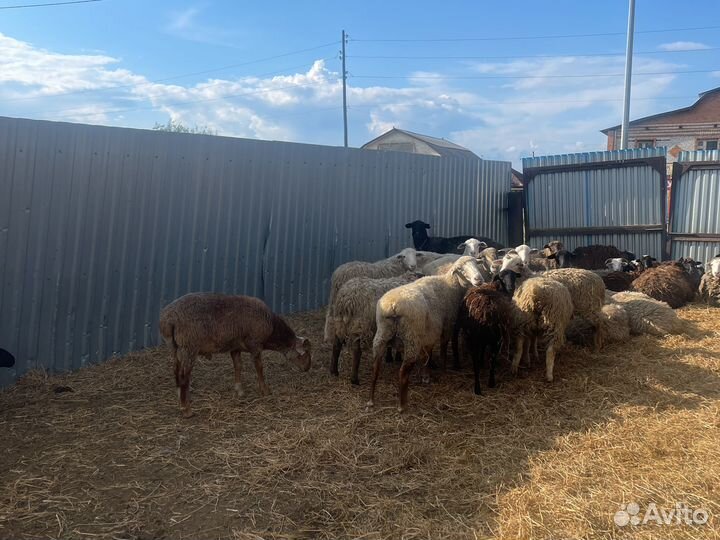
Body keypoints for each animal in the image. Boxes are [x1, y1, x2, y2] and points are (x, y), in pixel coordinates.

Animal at [159, 293, 311, 417]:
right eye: (304, 354)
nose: (307, 369)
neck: (272, 330)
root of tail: (168, 319)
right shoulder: (255, 344)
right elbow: (259, 367)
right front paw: (265, 390)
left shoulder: (235, 347)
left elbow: (238, 366)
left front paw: (239, 390)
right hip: (189, 347)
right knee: (184, 377)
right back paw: (186, 410)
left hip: (175, 348)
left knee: (176, 372)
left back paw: (181, 397)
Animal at [367, 256, 485, 412]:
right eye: (461, 269)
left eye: (476, 264)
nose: (479, 279)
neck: (451, 286)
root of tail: (392, 306)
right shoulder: (446, 326)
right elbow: (442, 349)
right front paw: (443, 371)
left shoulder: (429, 332)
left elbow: (426, 354)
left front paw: (425, 375)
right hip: (411, 338)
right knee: (403, 372)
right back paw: (402, 406)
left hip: (381, 336)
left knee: (375, 368)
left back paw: (370, 402)